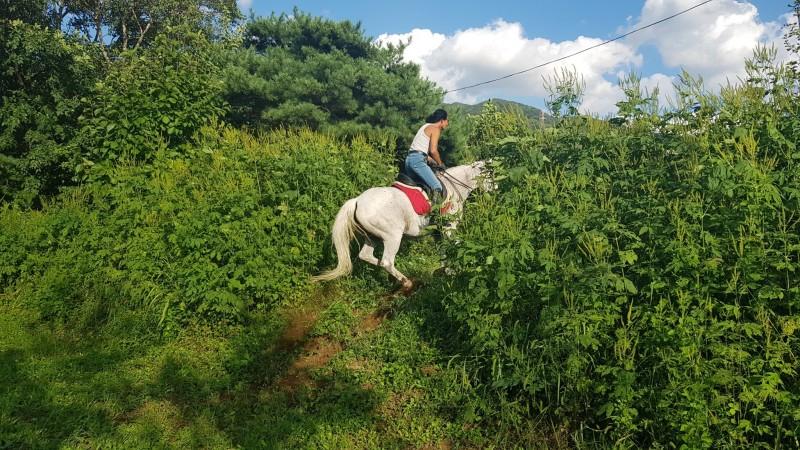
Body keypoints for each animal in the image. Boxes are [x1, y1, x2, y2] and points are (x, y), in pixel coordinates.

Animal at [312, 161, 492, 291]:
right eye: (491, 176)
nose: (494, 191)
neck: (455, 187)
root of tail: (357, 201)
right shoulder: (449, 227)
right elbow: (455, 245)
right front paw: (459, 268)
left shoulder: (438, 232)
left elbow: (443, 251)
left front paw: (445, 271)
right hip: (392, 236)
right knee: (387, 261)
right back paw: (406, 282)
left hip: (372, 237)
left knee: (367, 256)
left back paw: (393, 278)